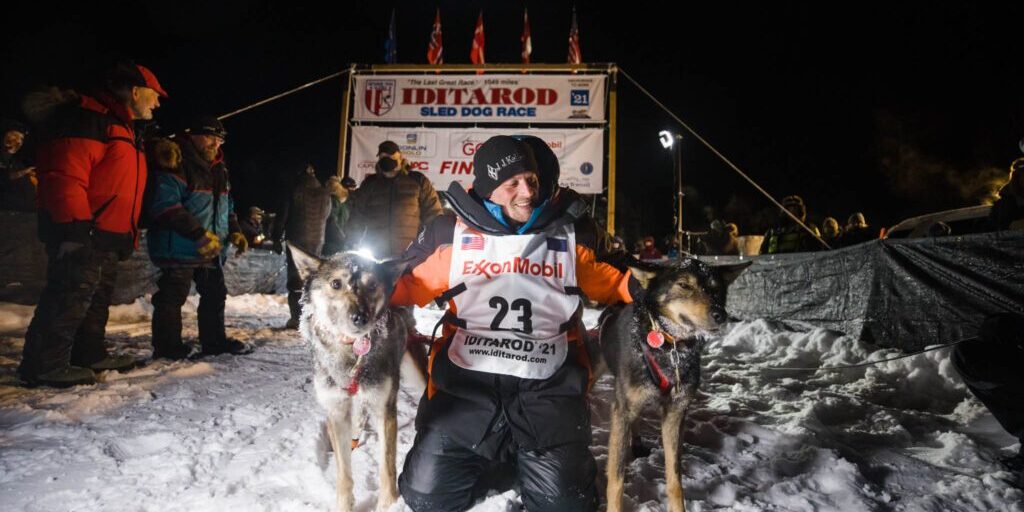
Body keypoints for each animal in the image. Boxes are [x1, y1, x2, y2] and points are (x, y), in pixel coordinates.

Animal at [288, 245, 423, 509]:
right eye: (336, 283)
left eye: (372, 286)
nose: (360, 317)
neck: (350, 350)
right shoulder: (336, 411)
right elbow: (344, 473)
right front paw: (344, 504)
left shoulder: (384, 408)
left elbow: (387, 467)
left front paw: (388, 505)